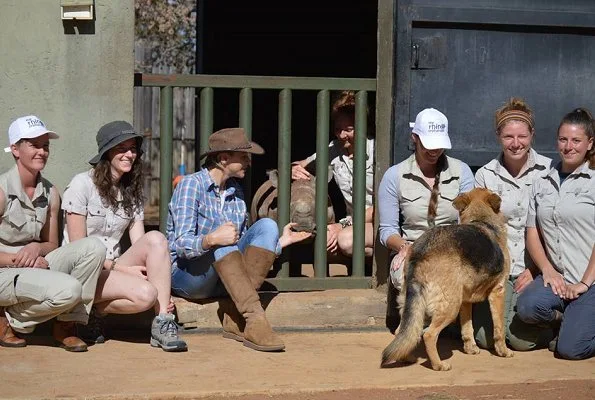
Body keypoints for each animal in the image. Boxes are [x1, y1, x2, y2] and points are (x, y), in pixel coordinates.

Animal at [382, 188, 516, 372]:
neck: (482, 219)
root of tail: (421, 252)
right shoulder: (498, 292)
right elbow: (499, 328)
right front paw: (503, 351)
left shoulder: (466, 300)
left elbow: (467, 327)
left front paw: (470, 348)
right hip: (450, 306)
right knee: (429, 334)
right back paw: (439, 365)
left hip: (415, 304)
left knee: (404, 333)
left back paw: (407, 358)